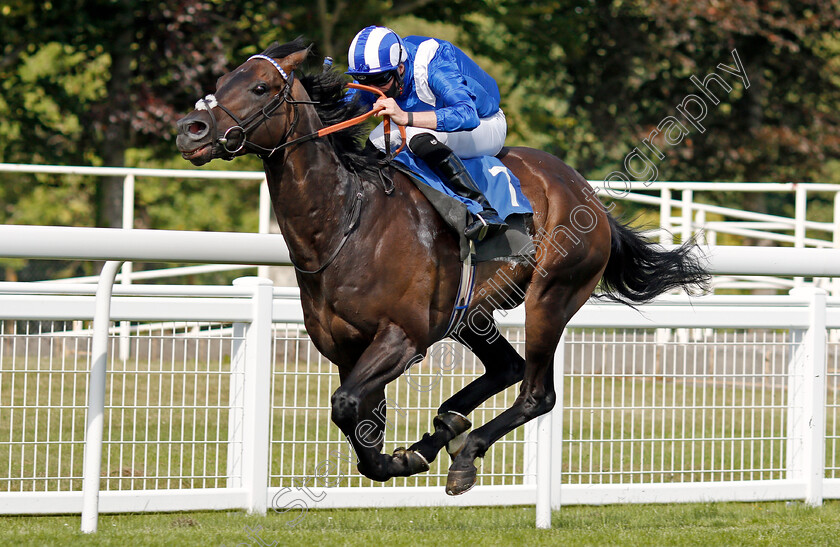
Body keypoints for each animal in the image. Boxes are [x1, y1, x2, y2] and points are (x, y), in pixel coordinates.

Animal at [177, 36, 708, 494]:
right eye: (222, 79)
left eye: (260, 87)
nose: (190, 130)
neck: (346, 222)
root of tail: (586, 193)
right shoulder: (346, 348)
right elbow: (362, 420)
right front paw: (402, 454)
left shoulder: (402, 337)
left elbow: (347, 407)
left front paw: (395, 462)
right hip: (470, 314)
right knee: (507, 368)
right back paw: (446, 426)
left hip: (552, 296)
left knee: (536, 393)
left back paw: (465, 451)